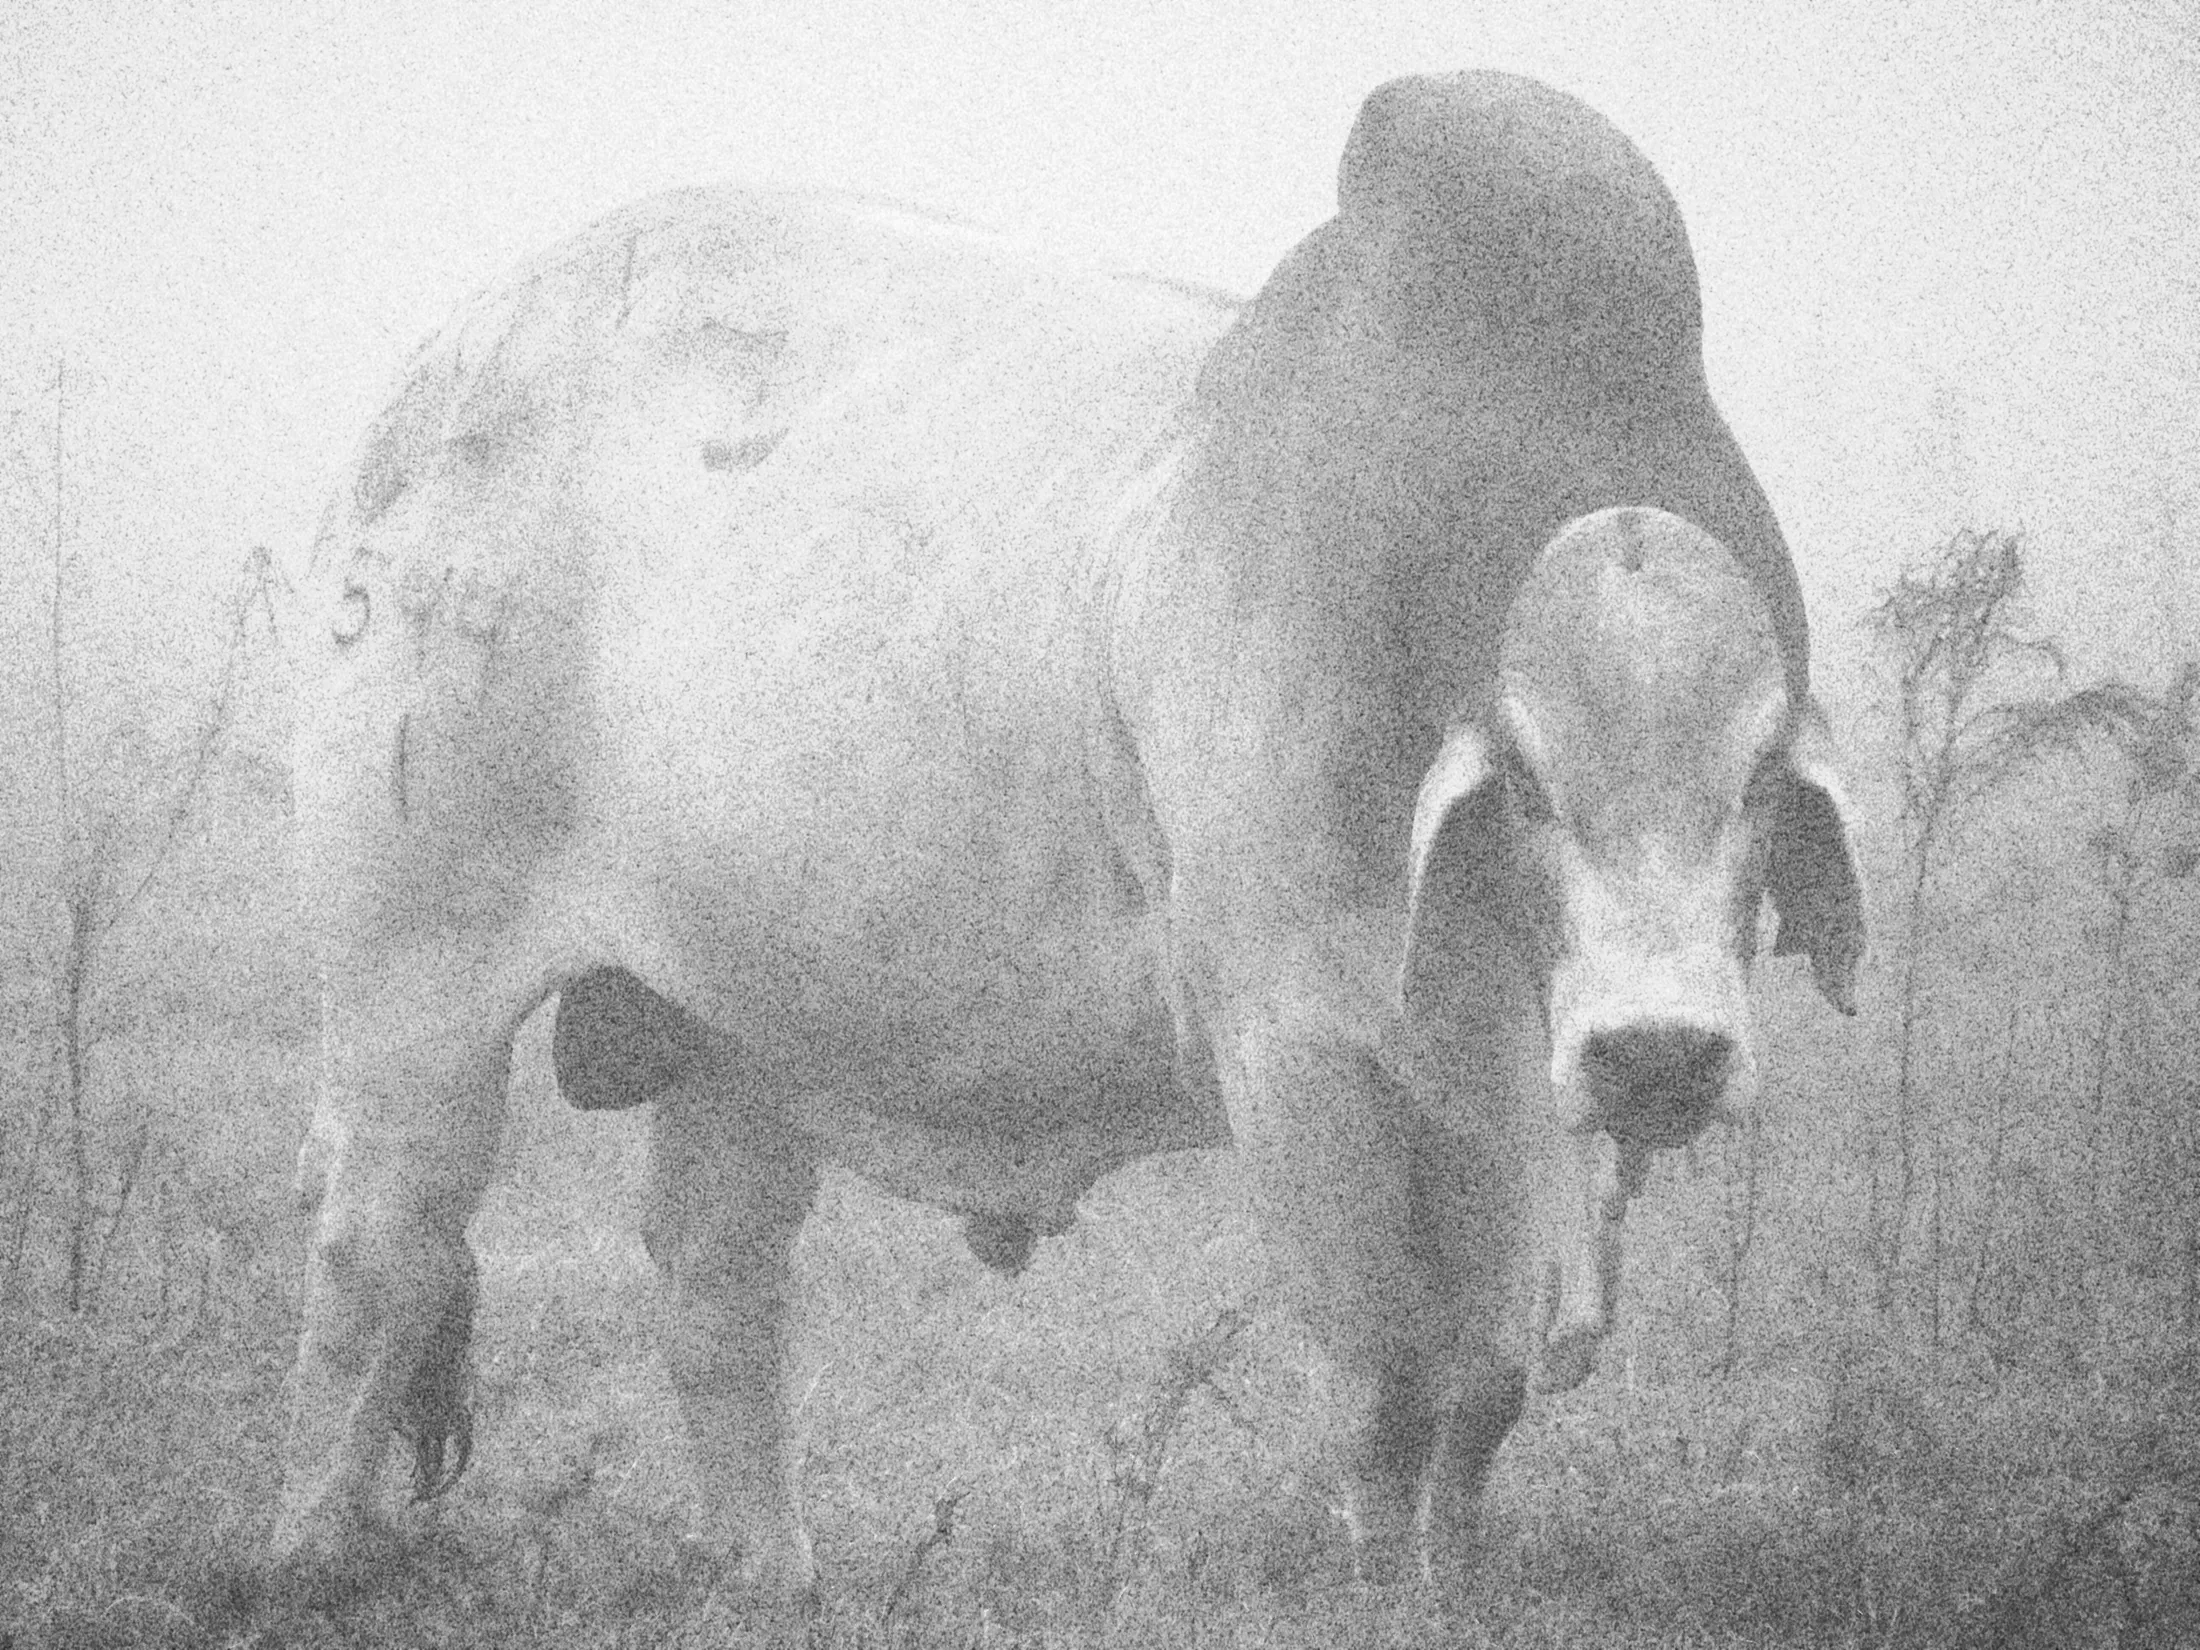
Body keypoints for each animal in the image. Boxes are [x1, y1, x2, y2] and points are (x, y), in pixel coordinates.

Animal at [273, 70, 1863, 1603]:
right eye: (1527, 780)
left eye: (1759, 776)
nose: (1658, 1054)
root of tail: (436, 380)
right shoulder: (1299, 1058)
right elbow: (1390, 1383)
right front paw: (1377, 1581)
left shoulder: (1480, 1088)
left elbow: (1481, 1387)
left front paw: (1452, 1577)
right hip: (412, 982)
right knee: (383, 1254)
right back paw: (308, 1550)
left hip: (740, 1023)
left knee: (713, 1279)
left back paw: (765, 1568)